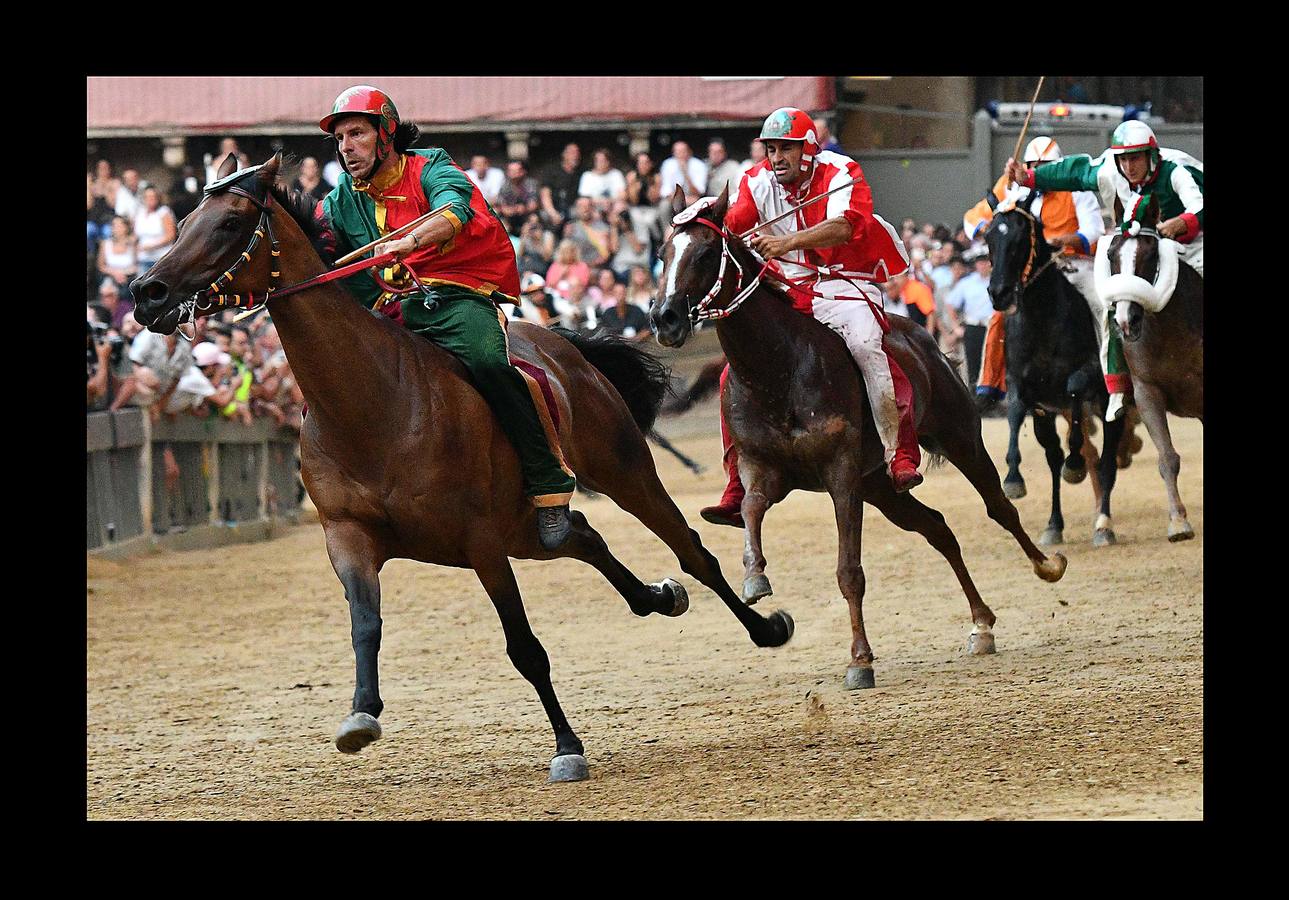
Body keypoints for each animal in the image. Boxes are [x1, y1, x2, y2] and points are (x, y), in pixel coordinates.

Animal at [133, 157, 794, 783]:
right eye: (183, 221)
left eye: (229, 223)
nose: (147, 292)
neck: (372, 402)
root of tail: (566, 347)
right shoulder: (348, 536)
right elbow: (364, 625)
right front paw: (361, 712)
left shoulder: (479, 540)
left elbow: (525, 648)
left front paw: (567, 747)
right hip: (524, 527)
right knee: (579, 534)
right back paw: (657, 596)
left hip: (620, 472)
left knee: (691, 552)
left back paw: (763, 626)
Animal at [654, 184, 1067, 685]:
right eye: (663, 253)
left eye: (705, 252)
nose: (664, 318)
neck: (778, 369)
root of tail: (925, 340)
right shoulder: (762, 465)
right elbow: (751, 507)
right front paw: (754, 576)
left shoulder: (842, 474)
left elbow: (849, 570)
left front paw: (860, 659)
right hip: (881, 486)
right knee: (937, 527)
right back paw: (981, 624)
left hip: (958, 438)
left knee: (999, 507)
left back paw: (1047, 565)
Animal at [984, 195, 1129, 544]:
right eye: (988, 238)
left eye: (1021, 239)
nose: (999, 293)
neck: (1042, 320)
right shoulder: (1024, 386)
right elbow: (1014, 413)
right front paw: (1013, 478)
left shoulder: (1088, 373)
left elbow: (1075, 388)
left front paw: (1075, 462)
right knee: (1052, 458)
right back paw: (1054, 525)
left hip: (1111, 401)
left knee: (1106, 461)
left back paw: (1103, 525)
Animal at [1103, 192, 1201, 536]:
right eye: (1111, 253)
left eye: (1150, 254)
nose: (1125, 320)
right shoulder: (1147, 390)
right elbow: (1167, 457)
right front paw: (1178, 521)